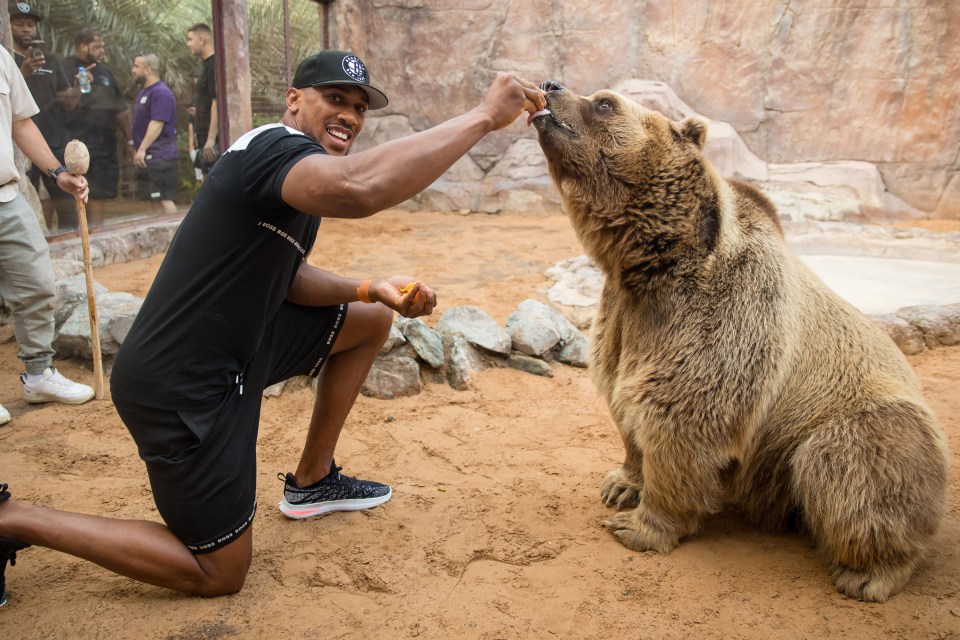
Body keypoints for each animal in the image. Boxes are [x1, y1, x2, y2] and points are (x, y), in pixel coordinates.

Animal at [532, 80, 952, 600]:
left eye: (605, 102)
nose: (551, 86)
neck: (652, 262)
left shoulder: (726, 317)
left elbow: (679, 416)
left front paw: (641, 525)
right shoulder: (623, 321)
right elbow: (621, 396)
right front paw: (622, 483)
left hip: (860, 421)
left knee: (853, 465)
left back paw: (871, 572)